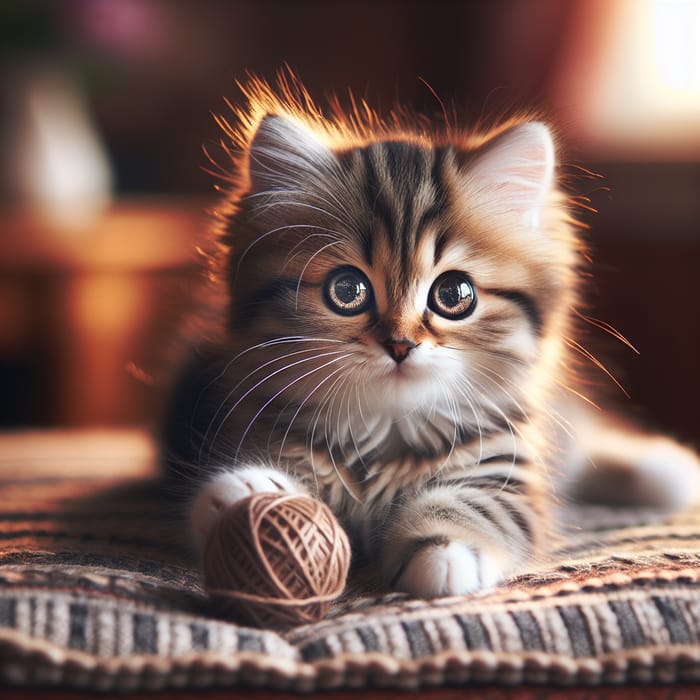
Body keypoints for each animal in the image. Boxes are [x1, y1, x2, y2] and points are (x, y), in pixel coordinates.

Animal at [161, 79, 696, 600]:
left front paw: (444, 550)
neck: (387, 431)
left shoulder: (506, 467)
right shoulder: (249, 424)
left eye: (454, 294)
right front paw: (248, 495)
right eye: (347, 290)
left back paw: (666, 470)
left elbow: (475, 506)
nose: (400, 345)